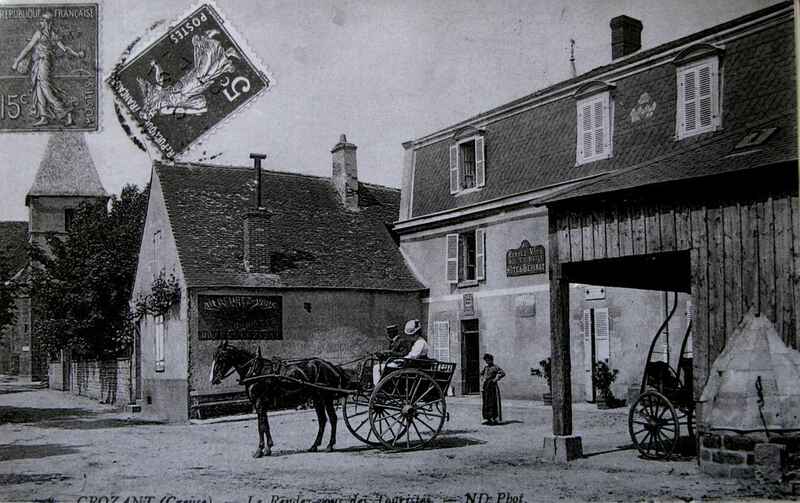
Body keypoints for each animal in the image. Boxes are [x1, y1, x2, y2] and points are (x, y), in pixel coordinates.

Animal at [211, 342, 352, 456]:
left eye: (220, 358)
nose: (213, 380)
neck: (256, 371)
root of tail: (331, 366)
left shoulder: (259, 403)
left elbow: (260, 426)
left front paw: (259, 450)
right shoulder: (261, 405)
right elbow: (265, 425)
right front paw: (268, 448)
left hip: (326, 398)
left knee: (333, 419)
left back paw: (330, 445)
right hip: (317, 399)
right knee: (322, 420)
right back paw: (314, 446)